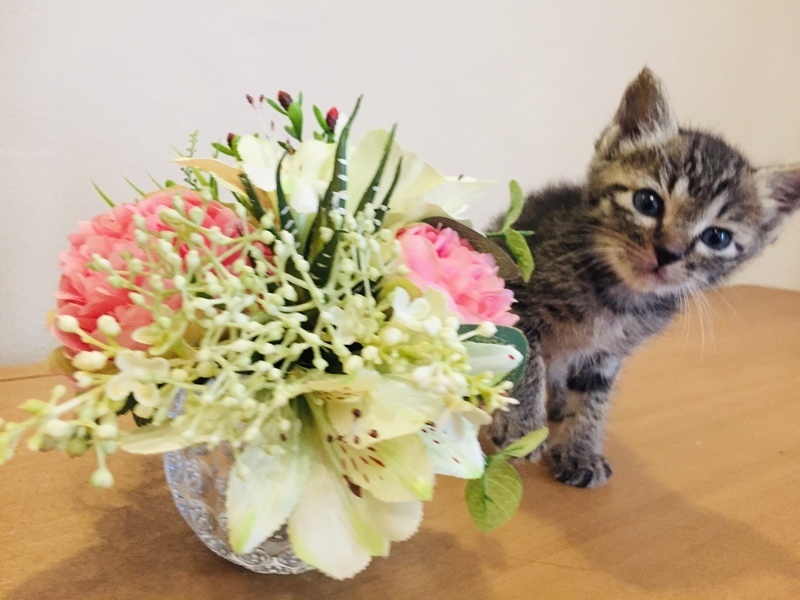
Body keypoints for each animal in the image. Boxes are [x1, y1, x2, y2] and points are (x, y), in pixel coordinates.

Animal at [488, 67, 800, 488]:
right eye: (647, 202)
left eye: (716, 238)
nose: (668, 253)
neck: (617, 297)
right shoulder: (519, 299)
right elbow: (526, 358)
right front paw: (522, 425)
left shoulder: (607, 354)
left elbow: (594, 397)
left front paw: (581, 449)